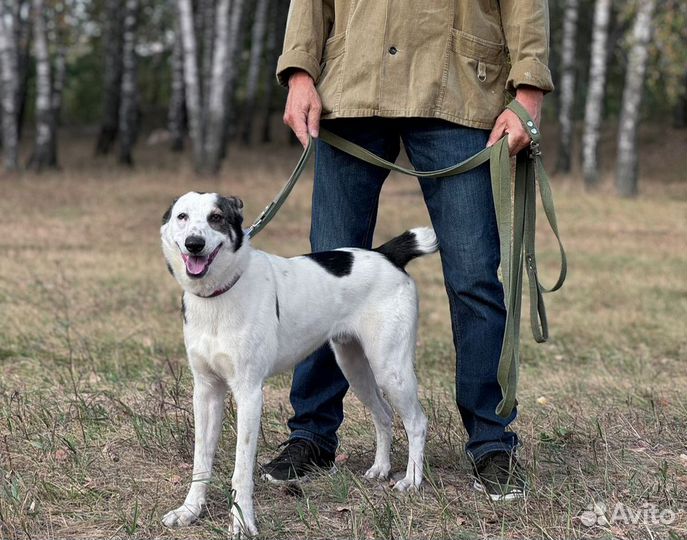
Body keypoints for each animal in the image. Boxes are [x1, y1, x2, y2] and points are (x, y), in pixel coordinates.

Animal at [161, 191, 438, 536]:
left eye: (216, 218)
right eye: (182, 217)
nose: (194, 244)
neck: (220, 294)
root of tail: (386, 254)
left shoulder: (249, 394)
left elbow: (242, 470)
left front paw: (242, 521)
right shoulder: (206, 391)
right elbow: (201, 461)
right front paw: (190, 510)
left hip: (391, 368)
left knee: (417, 422)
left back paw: (411, 480)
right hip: (354, 367)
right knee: (384, 415)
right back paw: (380, 468)